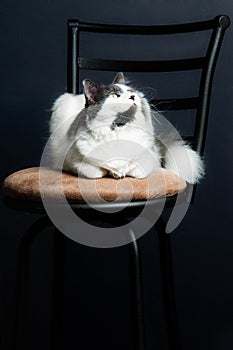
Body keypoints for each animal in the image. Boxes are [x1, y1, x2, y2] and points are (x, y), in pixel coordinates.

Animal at [49, 72, 204, 185]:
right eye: (113, 96)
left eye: (130, 91)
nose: (132, 96)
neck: (119, 130)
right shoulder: (73, 162)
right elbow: (97, 171)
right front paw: (113, 172)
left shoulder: (149, 159)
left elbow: (134, 169)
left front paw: (120, 171)